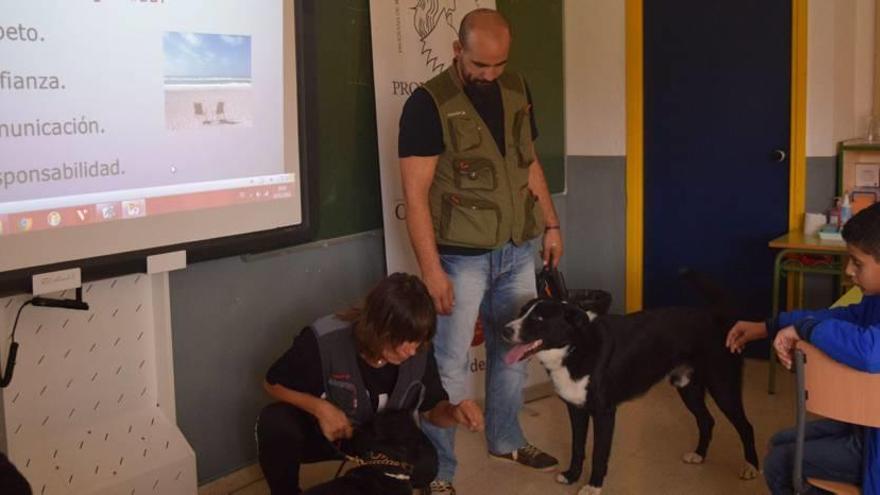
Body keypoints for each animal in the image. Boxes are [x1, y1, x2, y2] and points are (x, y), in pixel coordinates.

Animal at [506, 288, 760, 494]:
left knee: (746, 427)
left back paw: (751, 467)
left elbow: (599, 453)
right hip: (688, 388)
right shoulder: (576, 409)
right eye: (521, 311)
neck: (575, 346)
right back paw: (699, 454)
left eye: (539, 317)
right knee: (707, 421)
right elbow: (577, 447)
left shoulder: (604, 413)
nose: (504, 330)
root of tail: (720, 319)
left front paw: (594, 485)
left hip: (723, 388)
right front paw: (571, 476)